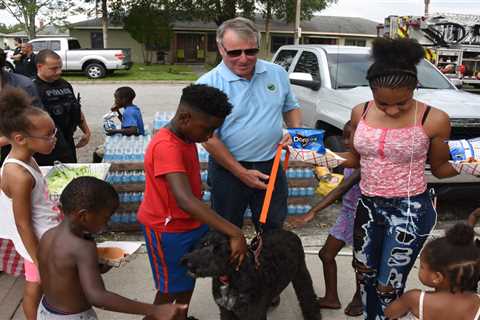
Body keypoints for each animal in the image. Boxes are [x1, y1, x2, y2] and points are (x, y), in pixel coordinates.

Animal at [182, 229, 320, 318]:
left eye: (220, 251)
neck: (232, 277)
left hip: (301, 273)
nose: (188, 263)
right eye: (204, 243)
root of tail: (291, 233)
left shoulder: (254, 313)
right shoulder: (226, 311)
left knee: (308, 296)